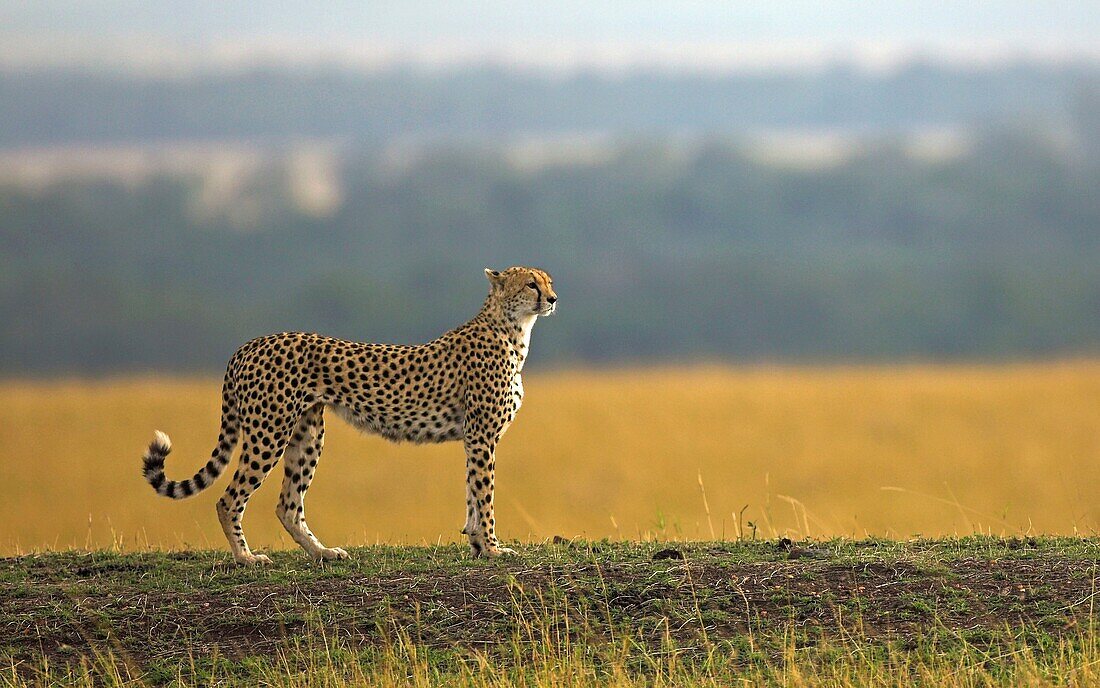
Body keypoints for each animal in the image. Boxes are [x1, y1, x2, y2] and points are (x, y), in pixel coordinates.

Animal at [144, 265, 558, 561]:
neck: (512, 331)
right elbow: (484, 493)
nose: (553, 298)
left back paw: (323, 552)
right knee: (229, 499)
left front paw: (476, 543)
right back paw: (247, 558)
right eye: (530, 285)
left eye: (548, 282)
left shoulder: (474, 438)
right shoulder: (482, 435)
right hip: (269, 432)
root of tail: (250, 343)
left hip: (307, 434)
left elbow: (473, 491)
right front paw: (491, 547)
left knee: (288, 505)